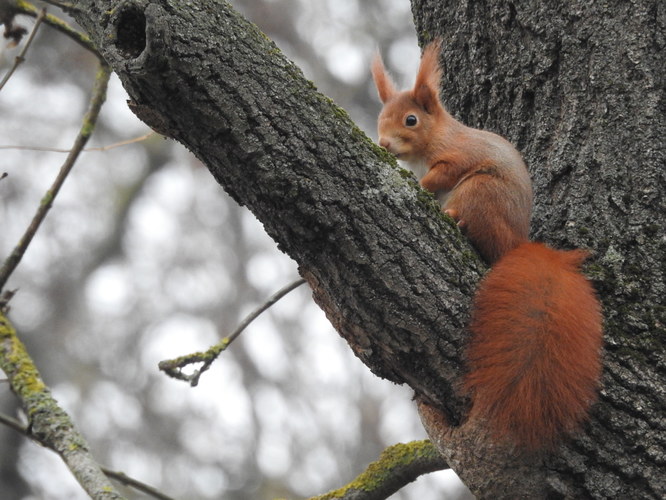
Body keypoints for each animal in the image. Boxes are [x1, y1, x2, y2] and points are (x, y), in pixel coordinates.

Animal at [370, 41, 604, 452]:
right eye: (382, 116)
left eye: (411, 120)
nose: (383, 143)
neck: (432, 141)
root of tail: (515, 244)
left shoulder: (458, 155)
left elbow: (442, 173)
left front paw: (421, 185)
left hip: (480, 191)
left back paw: (457, 220)